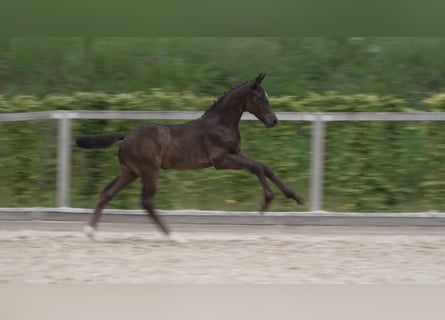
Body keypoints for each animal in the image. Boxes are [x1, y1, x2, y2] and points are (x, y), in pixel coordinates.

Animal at [76, 74, 306, 240]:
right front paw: (266, 202)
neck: (220, 124)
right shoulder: (220, 160)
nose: (273, 120)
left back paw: (90, 231)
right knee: (147, 201)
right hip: (149, 170)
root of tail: (125, 136)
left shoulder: (235, 153)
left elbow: (265, 166)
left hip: (130, 172)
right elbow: (257, 167)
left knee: (107, 193)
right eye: (259, 97)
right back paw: (173, 236)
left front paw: (297, 197)